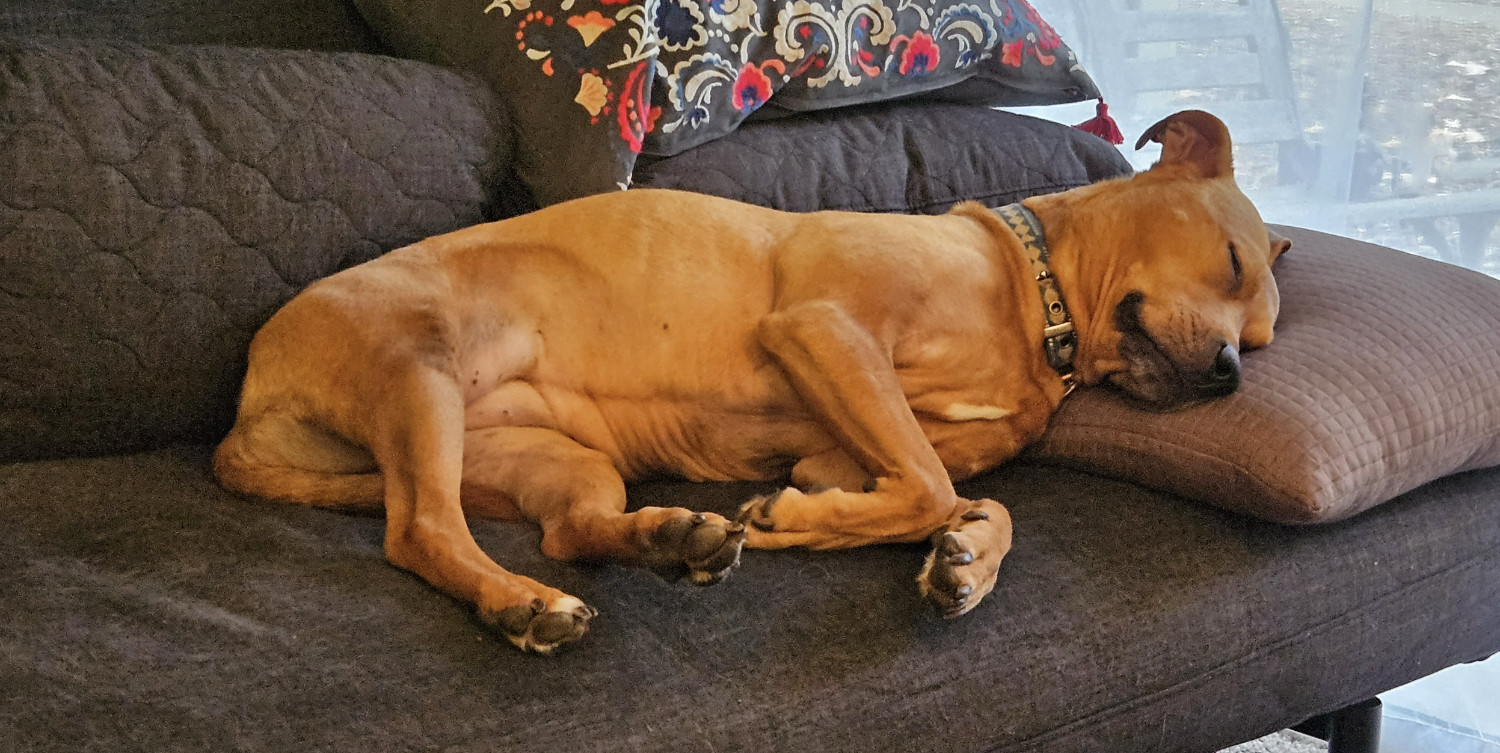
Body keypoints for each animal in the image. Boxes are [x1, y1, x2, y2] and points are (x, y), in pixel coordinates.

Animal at [214, 110, 1290, 654]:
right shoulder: (826, 330)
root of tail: (242, 417)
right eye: (1233, 261)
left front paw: (969, 557)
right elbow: (925, 483)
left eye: (1264, 336)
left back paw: (669, 540)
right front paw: (804, 526)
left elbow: (951, 492)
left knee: (568, 529)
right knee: (420, 531)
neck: (1033, 309)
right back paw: (523, 602)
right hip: (418, 371)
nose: (1229, 375)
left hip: (552, 459)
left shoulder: (839, 450)